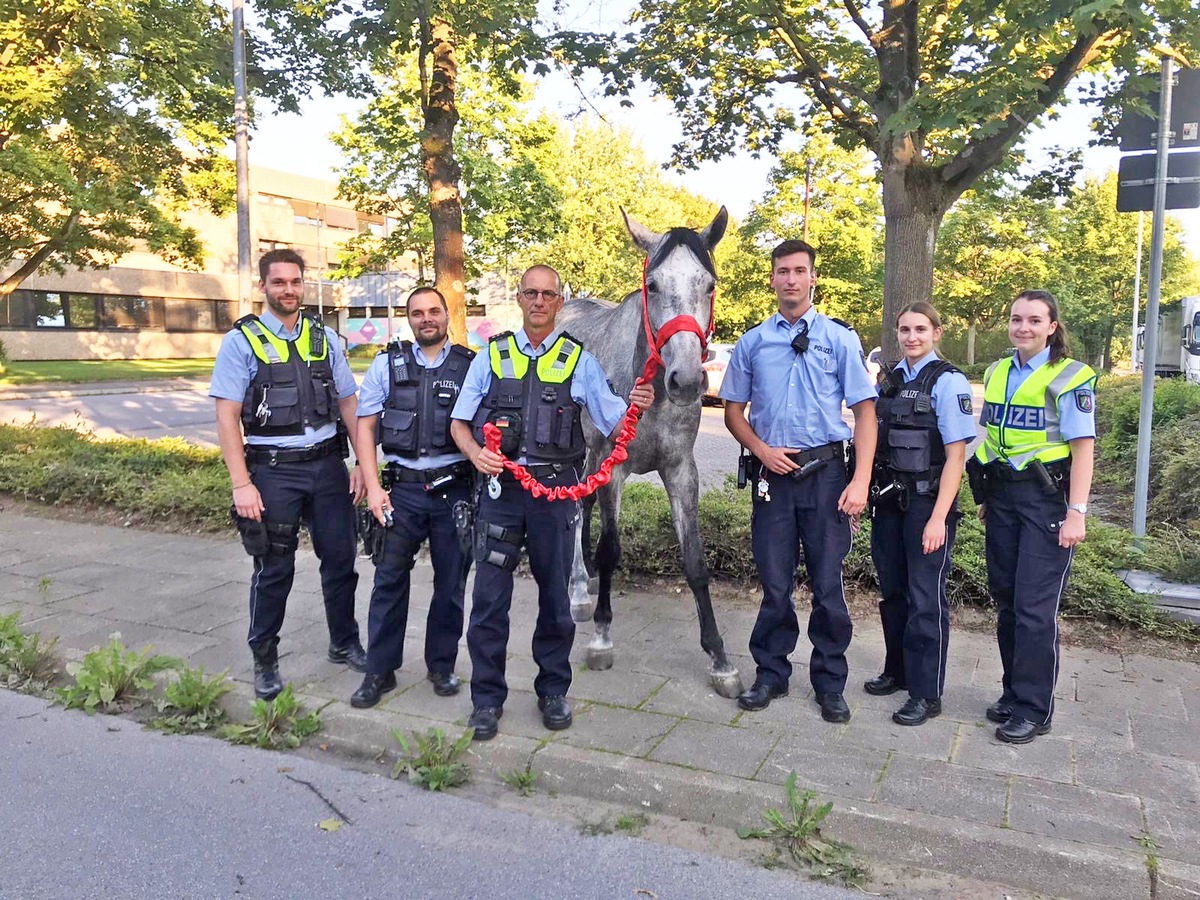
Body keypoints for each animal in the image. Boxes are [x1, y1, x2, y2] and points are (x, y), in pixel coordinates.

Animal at [559, 207, 739, 700]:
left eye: (709, 284)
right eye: (653, 284)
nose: (688, 380)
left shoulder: (681, 471)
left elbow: (695, 561)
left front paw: (719, 657)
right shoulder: (613, 466)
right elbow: (611, 548)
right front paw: (602, 637)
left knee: (582, 504)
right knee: (574, 507)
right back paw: (577, 590)